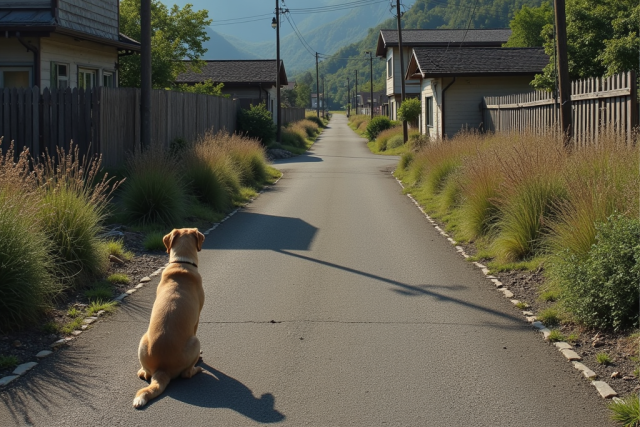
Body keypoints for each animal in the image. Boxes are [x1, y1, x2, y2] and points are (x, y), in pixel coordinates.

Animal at [132, 229, 205, 410]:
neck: (181, 262)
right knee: (186, 374)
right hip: (195, 341)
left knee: (144, 374)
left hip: (142, 341)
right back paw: (197, 368)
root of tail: (162, 369)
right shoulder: (197, 319)